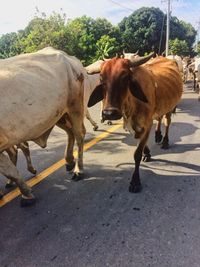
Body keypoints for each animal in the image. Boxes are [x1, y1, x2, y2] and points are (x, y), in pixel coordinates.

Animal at [0, 47, 100, 207]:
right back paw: (69, 161)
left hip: (75, 105)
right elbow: (10, 170)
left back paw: (78, 169)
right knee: (70, 132)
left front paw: (27, 195)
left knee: (79, 134)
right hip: (59, 114)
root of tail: (70, 57)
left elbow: (10, 170)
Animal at [86, 54, 182, 193]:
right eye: (101, 78)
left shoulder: (147, 124)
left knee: (167, 122)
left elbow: (137, 154)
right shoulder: (133, 127)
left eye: (125, 77)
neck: (131, 105)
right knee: (159, 118)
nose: (109, 113)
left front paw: (135, 181)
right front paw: (147, 153)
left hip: (170, 107)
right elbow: (142, 143)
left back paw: (165, 141)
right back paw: (158, 135)